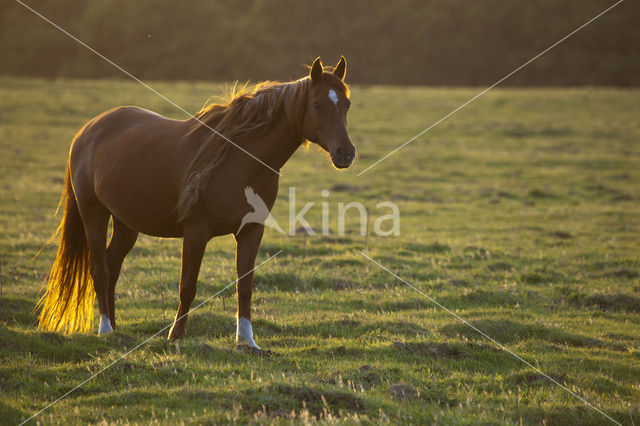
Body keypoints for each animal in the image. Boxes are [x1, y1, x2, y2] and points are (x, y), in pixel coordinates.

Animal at [35, 56, 356, 350]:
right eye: (317, 105)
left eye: (346, 105)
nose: (346, 153)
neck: (240, 162)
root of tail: (88, 130)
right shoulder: (196, 232)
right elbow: (188, 286)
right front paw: (176, 336)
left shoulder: (251, 231)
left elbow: (245, 286)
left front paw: (247, 340)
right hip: (94, 214)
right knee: (100, 270)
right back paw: (105, 329)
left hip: (126, 222)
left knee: (112, 266)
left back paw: (114, 327)